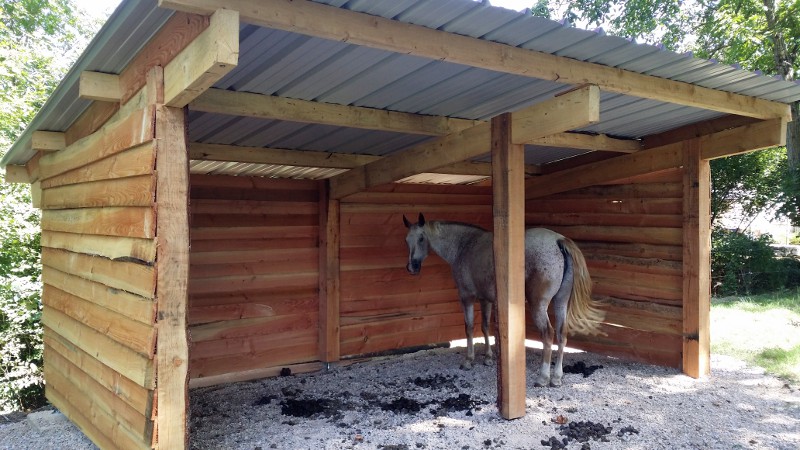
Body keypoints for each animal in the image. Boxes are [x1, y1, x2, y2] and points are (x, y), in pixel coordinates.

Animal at [404, 214, 604, 386]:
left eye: (421, 238)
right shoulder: (486, 300)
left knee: (548, 334)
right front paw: (488, 358)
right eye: (407, 240)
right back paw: (556, 377)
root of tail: (557, 240)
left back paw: (543, 377)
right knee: (562, 335)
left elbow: (469, 328)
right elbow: (485, 327)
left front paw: (469, 360)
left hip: (538, 305)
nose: (412, 267)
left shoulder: (467, 297)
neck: (465, 245)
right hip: (560, 302)